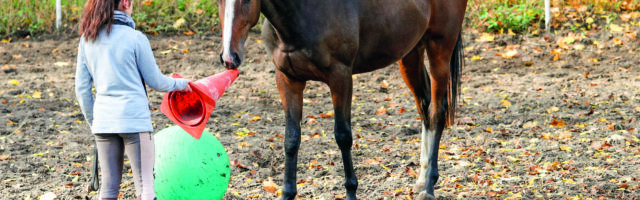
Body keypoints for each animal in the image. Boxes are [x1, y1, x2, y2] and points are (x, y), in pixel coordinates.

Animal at [219, 0, 464, 199]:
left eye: (247, 0)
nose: (229, 58)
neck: (301, 14)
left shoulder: (341, 77)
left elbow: (343, 136)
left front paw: (351, 192)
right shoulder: (288, 80)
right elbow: (291, 138)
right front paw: (287, 193)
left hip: (440, 50)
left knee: (436, 113)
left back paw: (428, 187)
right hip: (410, 53)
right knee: (424, 108)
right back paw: (422, 179)